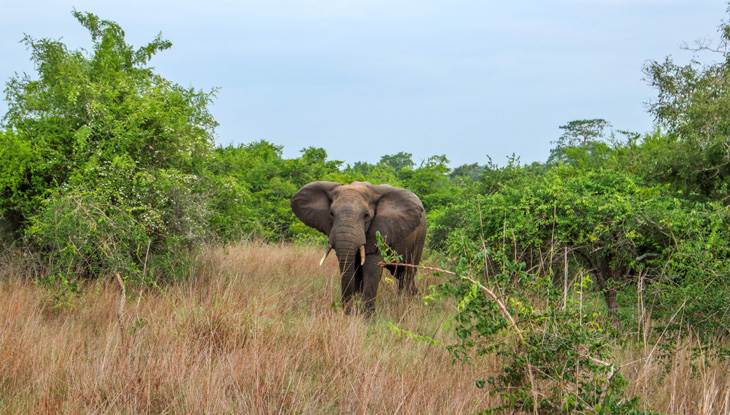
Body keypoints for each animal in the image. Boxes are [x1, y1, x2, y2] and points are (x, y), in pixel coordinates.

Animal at [292, 182, 426, 316]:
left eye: (366, 215)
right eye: (331, 214)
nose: (347, 312)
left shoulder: (379, 231)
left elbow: (371, 268)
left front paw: (367, 317)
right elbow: (355, 270)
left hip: (419, 239)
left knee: (407, 274)